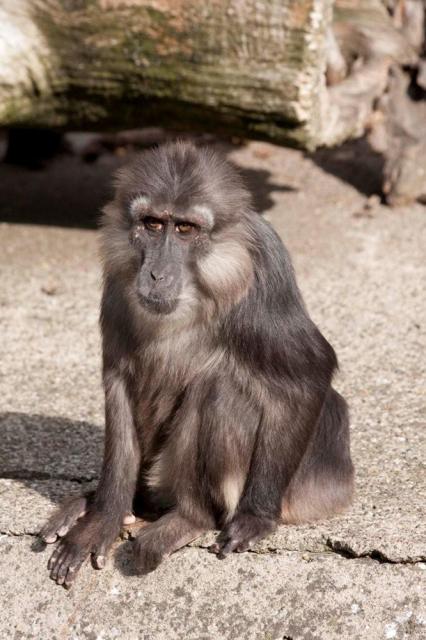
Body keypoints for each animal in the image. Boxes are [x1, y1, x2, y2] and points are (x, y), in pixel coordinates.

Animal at [39, 142, 352, 588]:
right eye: (153, 224)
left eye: (185, 229)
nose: (156, 274)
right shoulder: (118, 280)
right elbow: (120, 380)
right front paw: (103, 516)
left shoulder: (262, 271)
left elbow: (309, 373)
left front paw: (256, 517)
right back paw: (117, 502)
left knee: (217, 389)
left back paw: (190, 517)